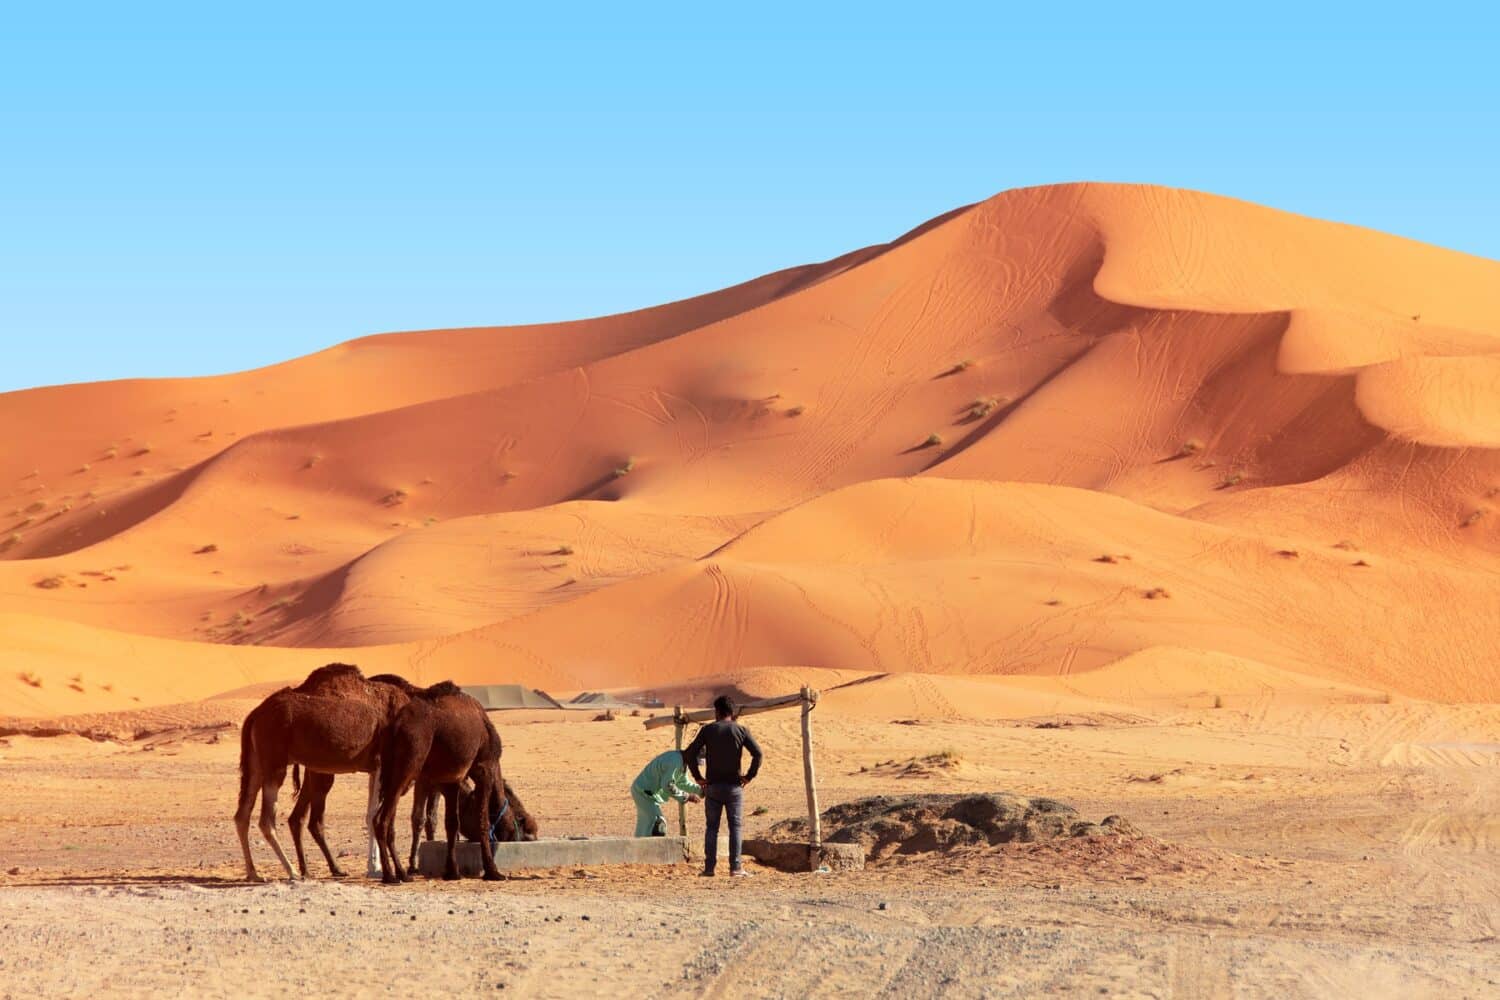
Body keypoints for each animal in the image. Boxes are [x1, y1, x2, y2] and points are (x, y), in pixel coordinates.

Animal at [238, 665, 417, 881]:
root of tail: (255, 714)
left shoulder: (376, 767)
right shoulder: (382, 762)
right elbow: (373, 814)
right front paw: (376, 869)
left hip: (255, 762)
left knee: (242, 815)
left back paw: (255, 873)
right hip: (274, 762)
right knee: (267, 820)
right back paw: (293, 872)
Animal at [370, 680, 501, 881]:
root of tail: (395, 725)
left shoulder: (452, 780)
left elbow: (452, 823)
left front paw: (452, 871)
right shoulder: (485, 768)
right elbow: (483, 821)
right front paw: (492, 871)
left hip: (390, 768)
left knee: (386, 817)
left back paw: (401, 873)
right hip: (409, 761)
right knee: (381, 819)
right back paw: (391, 876)